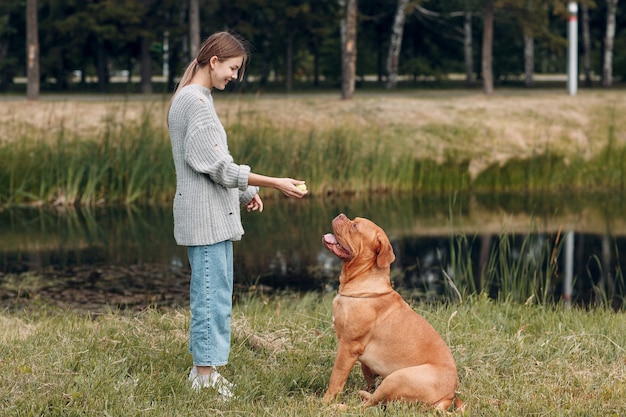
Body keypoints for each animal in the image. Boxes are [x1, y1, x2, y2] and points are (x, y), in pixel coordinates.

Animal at [322, 214, 464, 410]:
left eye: (355, 226)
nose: (341, 215)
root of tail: (447, 398)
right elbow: (368, 375)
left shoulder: (348, 346)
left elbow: (336, 377)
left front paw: (325, 401)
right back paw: (363, 394)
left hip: (396, 378)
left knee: (369, 405)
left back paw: (341, 406)